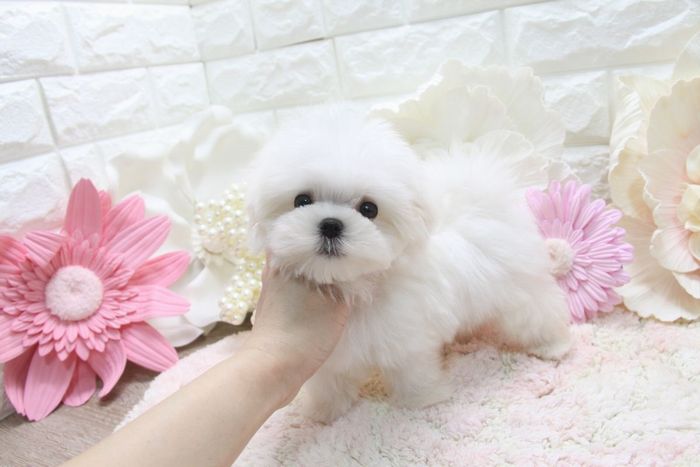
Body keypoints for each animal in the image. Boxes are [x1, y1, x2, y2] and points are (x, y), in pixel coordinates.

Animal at [246, 108, 571, 423]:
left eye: (369, 209)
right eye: (301, 200)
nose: (330, 224)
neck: (359, 287)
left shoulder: (409, 341)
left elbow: (413, 372)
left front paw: (423, 400)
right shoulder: (328, 352)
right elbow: (329, 382)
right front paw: (324, 411)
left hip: (519, 289)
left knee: (538, 312)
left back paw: (555, 344)